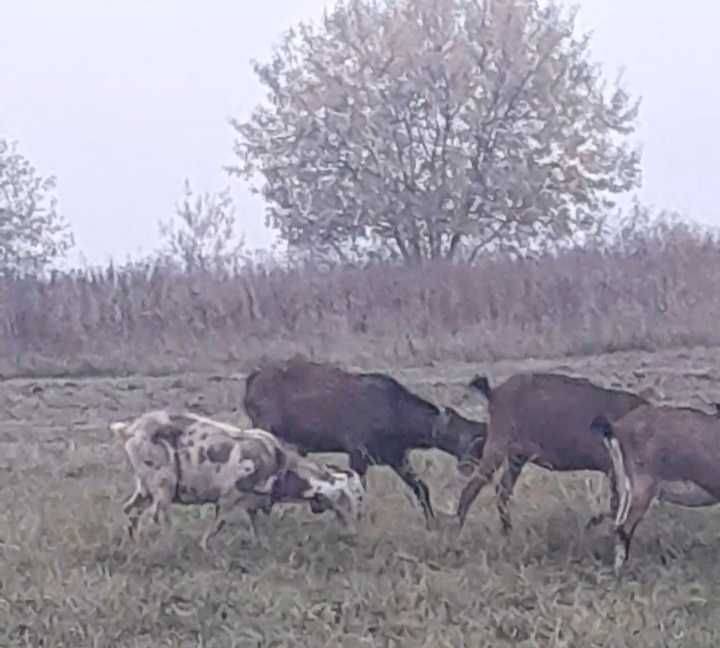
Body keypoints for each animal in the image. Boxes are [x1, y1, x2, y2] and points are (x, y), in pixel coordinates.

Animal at [109, 410, 368, 548]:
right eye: (346, 500)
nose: (354, 533)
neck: (278, 462)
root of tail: (130, 429)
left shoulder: (254, 502)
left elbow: (256, 524)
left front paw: (262, 545)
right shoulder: (228, 497)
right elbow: (219, 524)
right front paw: (204, 546)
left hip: (145, 487)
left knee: (130, 509)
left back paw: (135, 543)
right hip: (163, 483)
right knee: (158, 515)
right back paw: (170, 544)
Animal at [245, 356, 486, 528]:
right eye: (473, 440)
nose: (474, 466)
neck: (401, 419)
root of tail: (252, 379)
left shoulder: (397, 457)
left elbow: (421, 488)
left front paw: (432, 523)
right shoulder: (358, 454)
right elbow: (358, 493)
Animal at [456, 372, 716, 536]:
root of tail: (494, 392)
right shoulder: (614, 468)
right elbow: (614, 506)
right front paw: (593, 525)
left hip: (517, 456)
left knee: (502, 490)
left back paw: (506, 531)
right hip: (499, 443)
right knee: (472, 488)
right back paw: (459, 529)